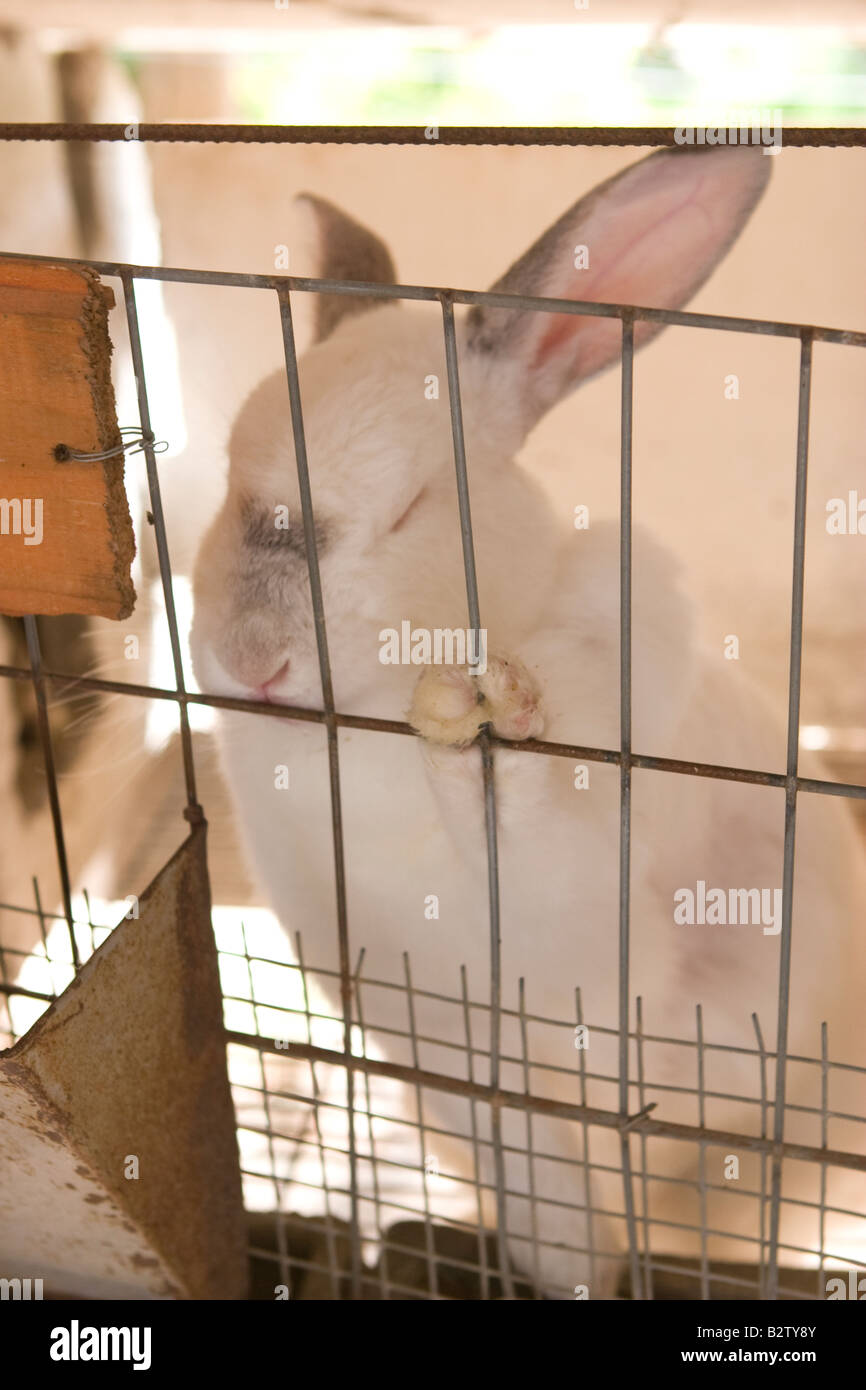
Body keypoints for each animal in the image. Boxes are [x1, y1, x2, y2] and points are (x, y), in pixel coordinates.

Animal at [193, 146, 866, 1295]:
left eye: (413, 509)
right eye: (228, 480)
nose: (252, 661)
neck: (365, 744)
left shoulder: (585, 938)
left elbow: (532, 831)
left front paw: (487, 724)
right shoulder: (442, 1040)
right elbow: (538, 1178)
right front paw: (566, 1269)